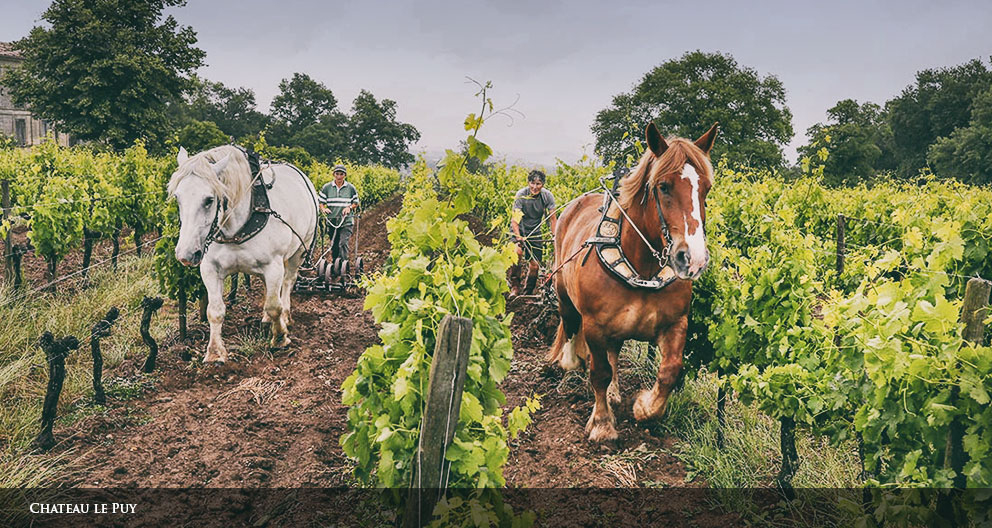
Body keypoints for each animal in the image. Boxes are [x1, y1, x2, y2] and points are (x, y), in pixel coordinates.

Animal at [170, 143, 318, 364]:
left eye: (209, 200)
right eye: (177, 198)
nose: (185, 255)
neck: (236, 230)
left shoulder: (274, 266)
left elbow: (274, 305)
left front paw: (280, 338)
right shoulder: (209, 268)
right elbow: (214, 310)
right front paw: (215, 352)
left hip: (299, 251)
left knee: (288, 282)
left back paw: (285, 316)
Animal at [552, 122, 712, 442]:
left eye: (706, 189)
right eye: (663, 186)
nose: (693, 259)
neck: (642, 269)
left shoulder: (676, 323)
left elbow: (670, 370)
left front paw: (644, 406)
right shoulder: (595, 325)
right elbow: (598, 372)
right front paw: (602, 424)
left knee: (614, 353)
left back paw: (615, 393)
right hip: (564, 293)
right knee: (570, 323)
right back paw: (571, 361)